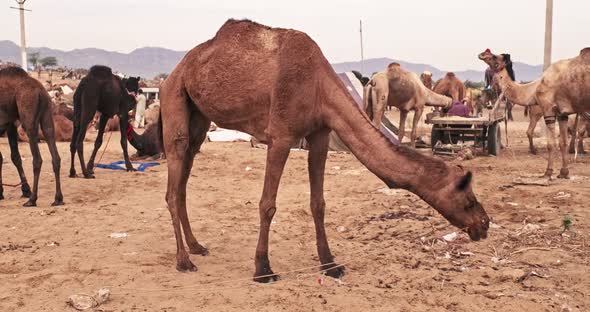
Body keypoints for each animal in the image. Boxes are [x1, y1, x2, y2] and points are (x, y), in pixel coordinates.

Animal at [0, 67, 63, 206]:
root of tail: (39, 91)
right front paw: (24, 190)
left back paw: (32, 199)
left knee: (37, 158)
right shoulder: (9, 124)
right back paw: (58, 199)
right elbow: (14, 157)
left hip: (27, 112)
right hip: (47, 113)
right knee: (54, 151)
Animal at [158, 19, 490, 282]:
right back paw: (183, 261)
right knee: (174, 182)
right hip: (174, 98)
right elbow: (267, 204)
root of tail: (174, 73)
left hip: (199, 117)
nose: (484, 226)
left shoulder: (319, 134)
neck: (318, 86)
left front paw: (330, 264)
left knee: (184, 180)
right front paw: (263, 269)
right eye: (468, 199)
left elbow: (318, 204)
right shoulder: (281, 136)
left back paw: (197, 246)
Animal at [480, 47, 590, 177]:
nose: (482, 54)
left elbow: (551, 144)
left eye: (495, 57)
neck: (534, 88)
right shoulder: (562, 113)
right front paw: (564, 173)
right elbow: (563, 142)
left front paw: (548, 171)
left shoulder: (548, 109)